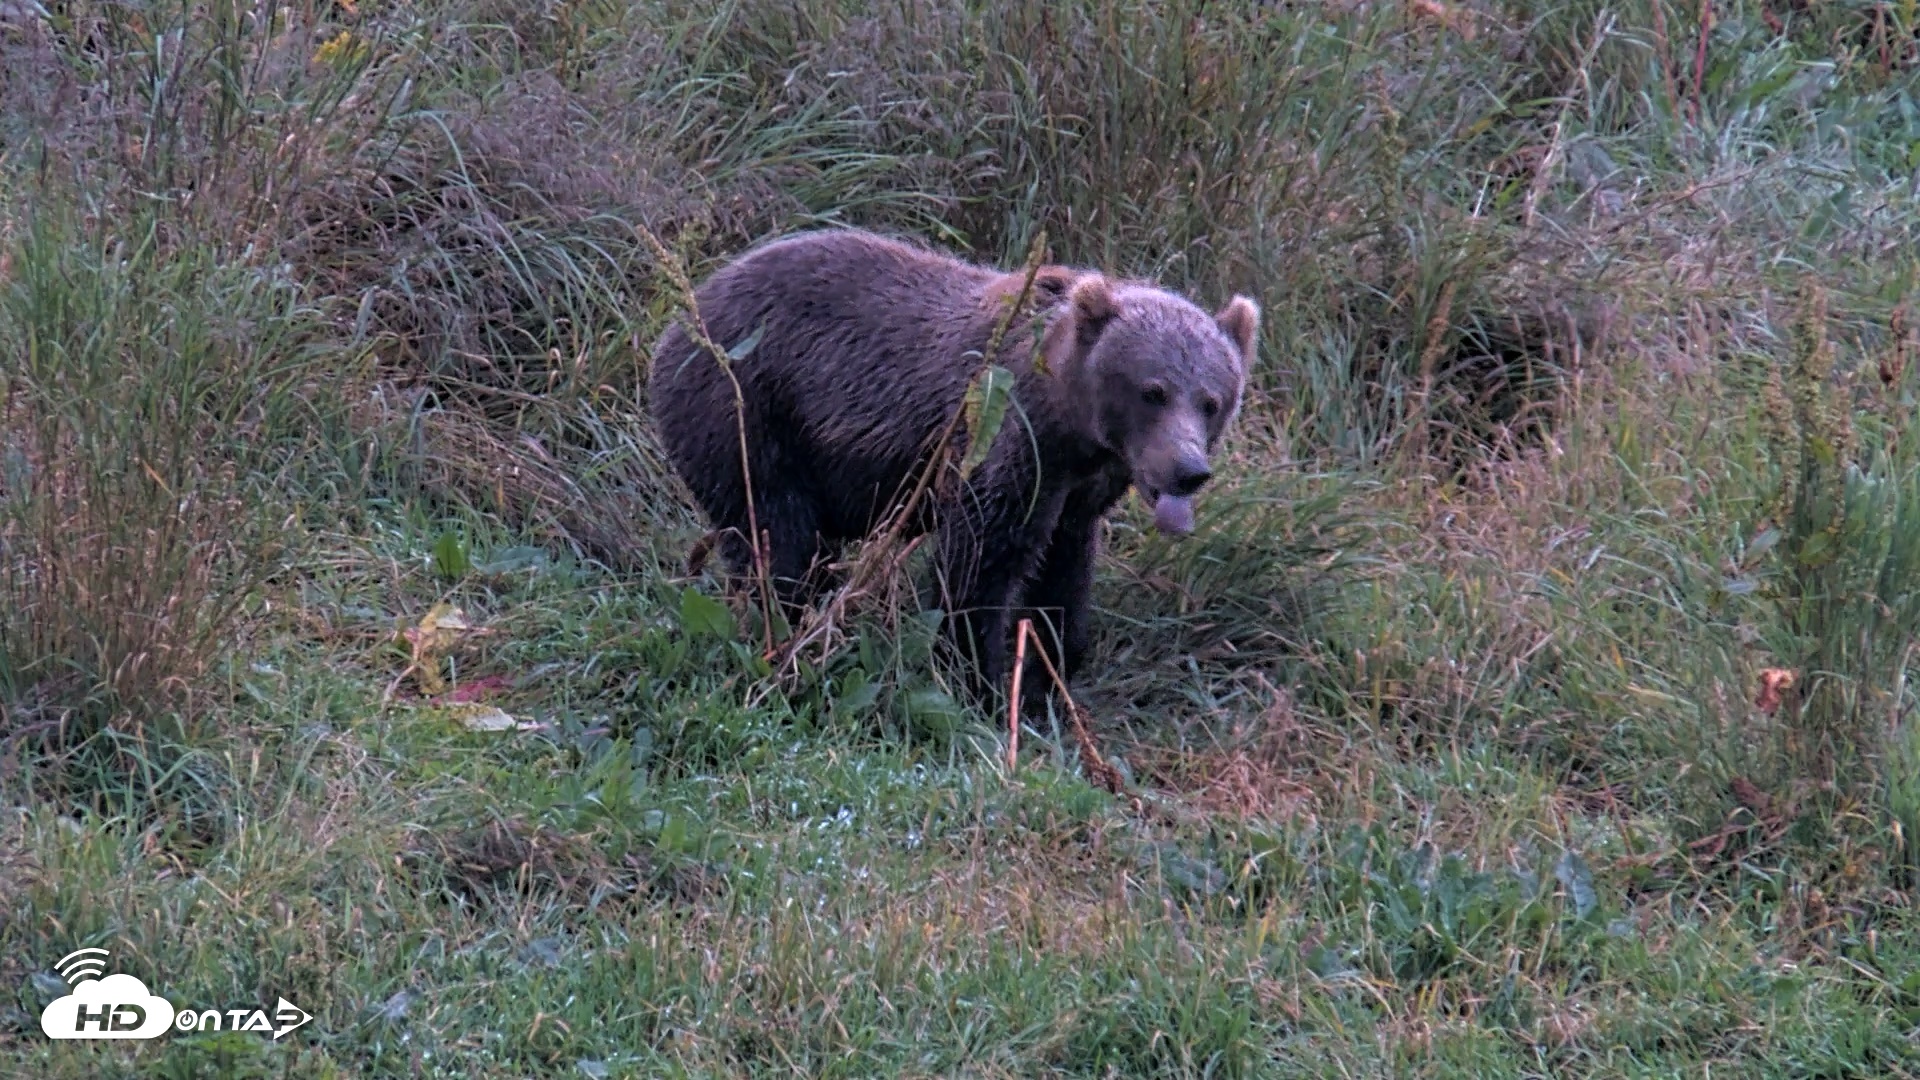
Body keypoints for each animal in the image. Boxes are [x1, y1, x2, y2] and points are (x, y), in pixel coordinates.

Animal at [648, 228, 1258, 699]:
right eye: (1153, 391)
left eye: (1211, 400)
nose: (1187, 470)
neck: (1072, 425)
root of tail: (685, 313)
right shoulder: (1000, 441)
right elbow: (978, 562)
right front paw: (977, 678)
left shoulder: (1080, 492)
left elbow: (1062, 575)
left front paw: (1048, 675)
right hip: (748, 408)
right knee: (777, 535)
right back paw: (786, 627)